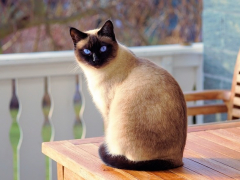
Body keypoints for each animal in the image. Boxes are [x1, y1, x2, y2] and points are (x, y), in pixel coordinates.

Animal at [69, 20, 188, 171]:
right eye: (87, 51)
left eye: (103, 49)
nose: (95, 60)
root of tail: (177, 160)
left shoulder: (107, 111)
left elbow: (106, 133)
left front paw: (108, 149)